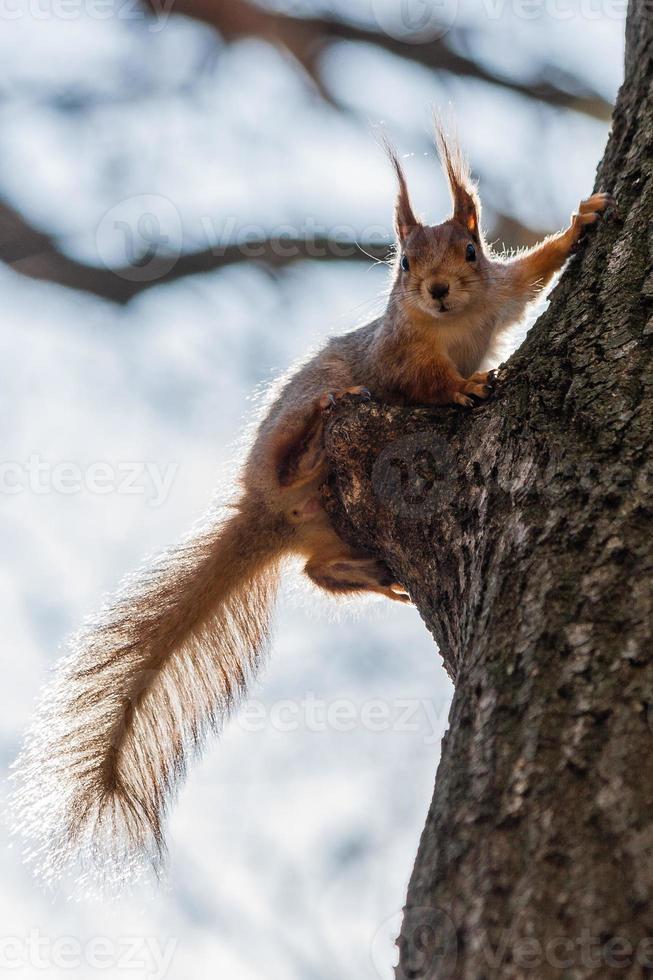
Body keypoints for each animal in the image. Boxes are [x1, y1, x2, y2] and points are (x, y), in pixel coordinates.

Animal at [12, 124, 612, 888]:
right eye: (405, 261)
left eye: (471, 252)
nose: (437, 291)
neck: (454, 323)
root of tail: (269, 512)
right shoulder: (397, 356)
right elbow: (422, 383)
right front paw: (463, 389)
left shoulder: (500, 294)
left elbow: (532, 274)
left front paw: (580, 223)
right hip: (292, 435)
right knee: (298, 460)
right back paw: (313, 435)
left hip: (334, 527)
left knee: (314, 572)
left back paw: (369, 574)